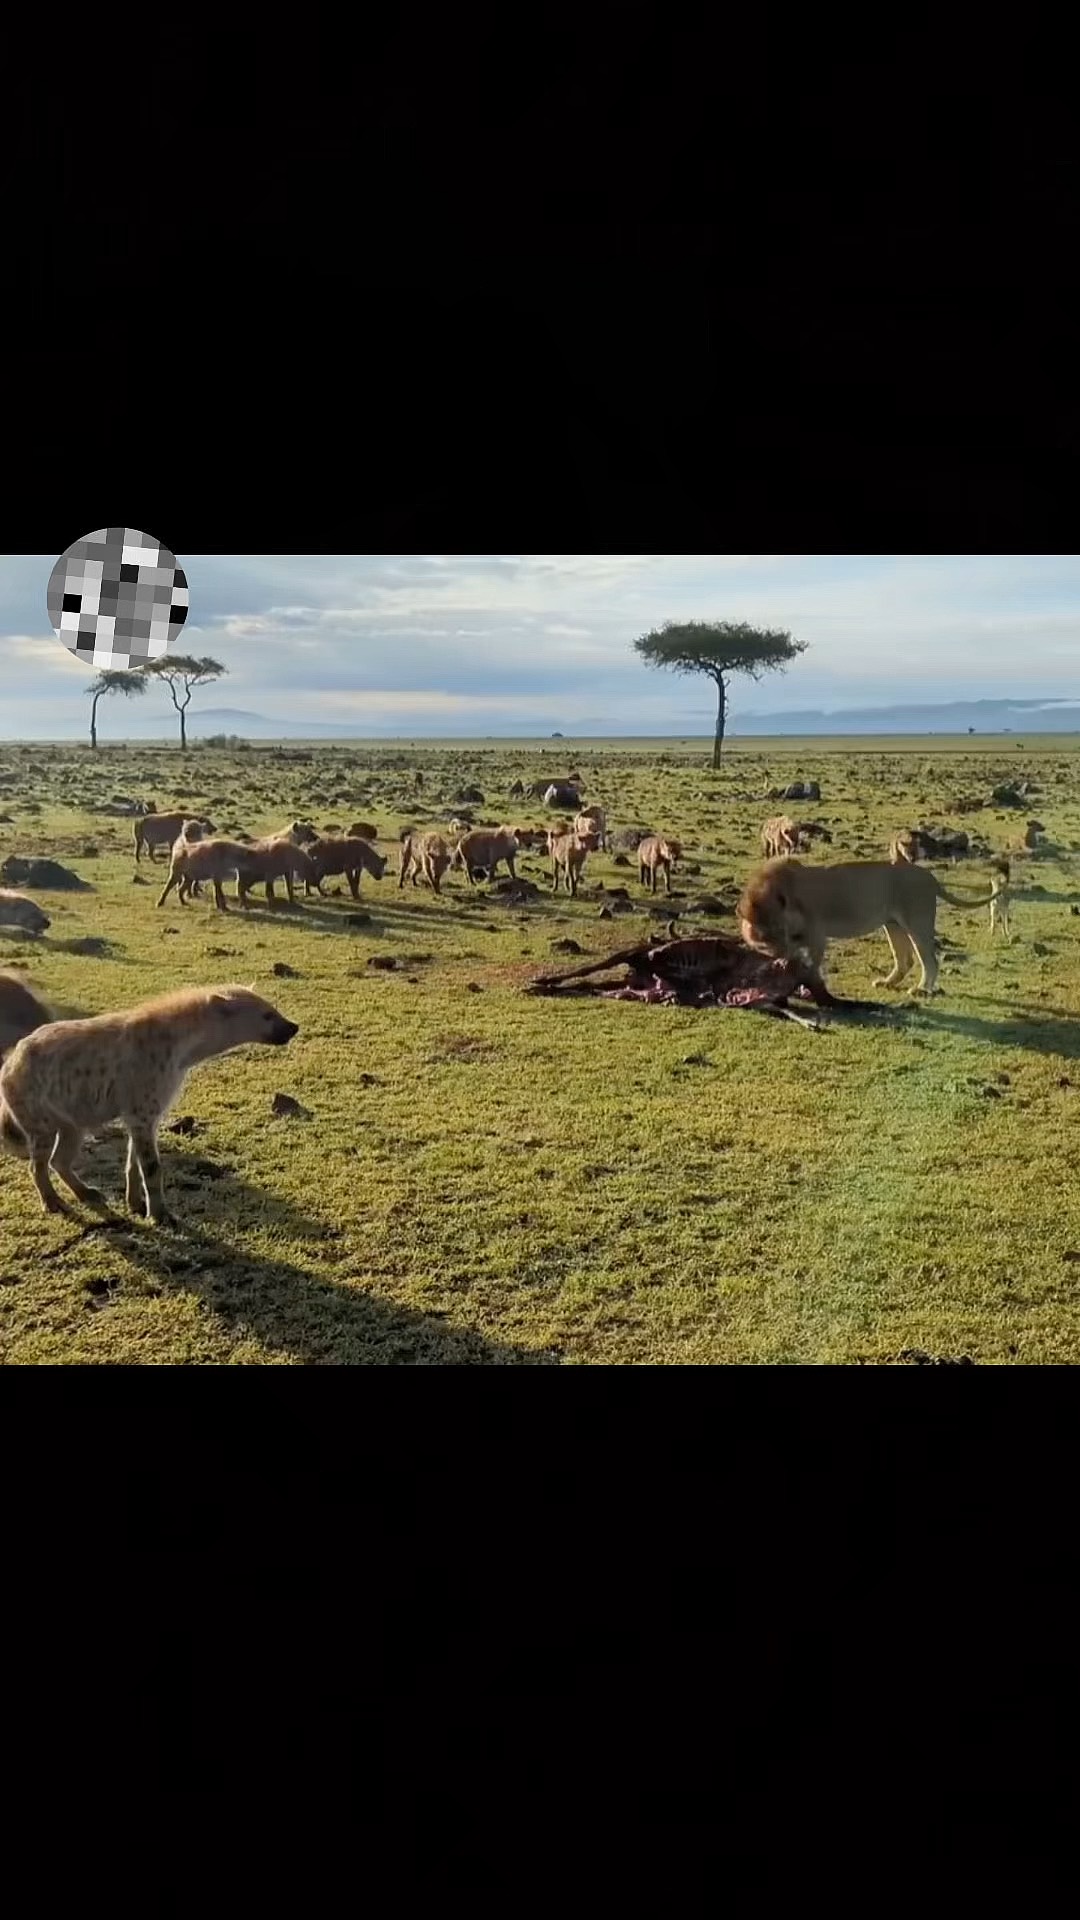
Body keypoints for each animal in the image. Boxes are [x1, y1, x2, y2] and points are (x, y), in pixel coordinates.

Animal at [734, 860, 1006, 998]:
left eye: (779, 932)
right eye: (765, 941)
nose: (783, 950)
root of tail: (931, 877)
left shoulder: (817, 934)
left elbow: (812, 963)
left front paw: (805, 983)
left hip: (917, 920)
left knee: (929, 959)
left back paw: (920, 989)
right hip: (892, 924)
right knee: (905, 959)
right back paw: (887, 983)